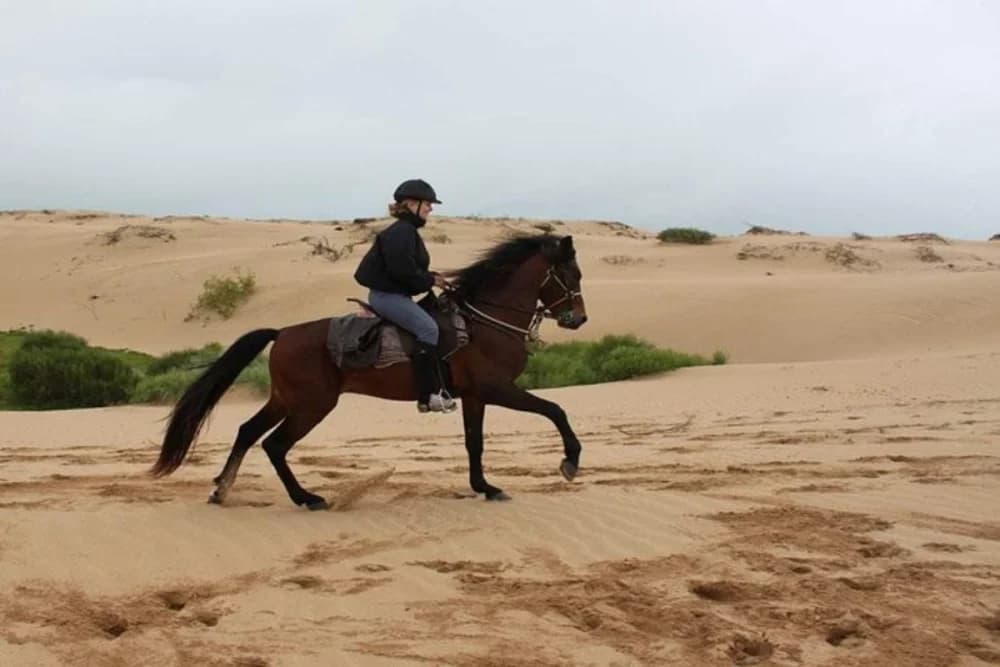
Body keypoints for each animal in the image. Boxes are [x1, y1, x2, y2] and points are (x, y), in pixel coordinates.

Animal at [150, 233, 588, 509]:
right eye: (571, 276)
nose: (579, 319)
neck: (485, 321)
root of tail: (282, 333)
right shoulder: (497, 388)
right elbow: (555, 410)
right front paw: (570, 462)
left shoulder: (476, 397)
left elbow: (474, 443)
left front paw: (484, 487)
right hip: (312, 405)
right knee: (274, 445)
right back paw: (306, 498)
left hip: (285, 400)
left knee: (247, 432)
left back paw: (222, 491)